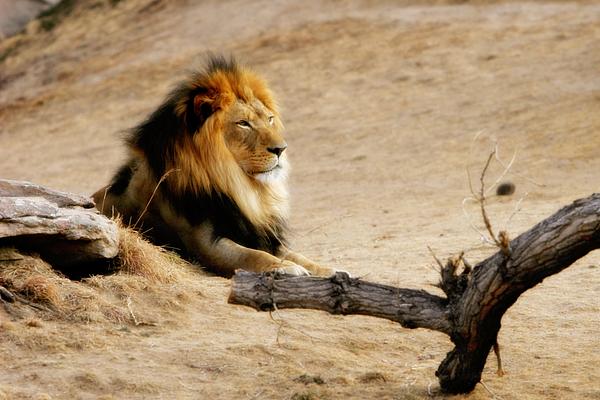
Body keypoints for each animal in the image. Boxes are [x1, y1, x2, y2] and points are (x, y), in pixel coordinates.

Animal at [94, 55, 338, 278]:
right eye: (243, 123)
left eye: (269, 119)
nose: (281, 149)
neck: (236, 184)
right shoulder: (206, 244)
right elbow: (253, 256)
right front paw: (285, 268)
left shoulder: (260, 235)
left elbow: (297, 255)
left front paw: (327, 270)